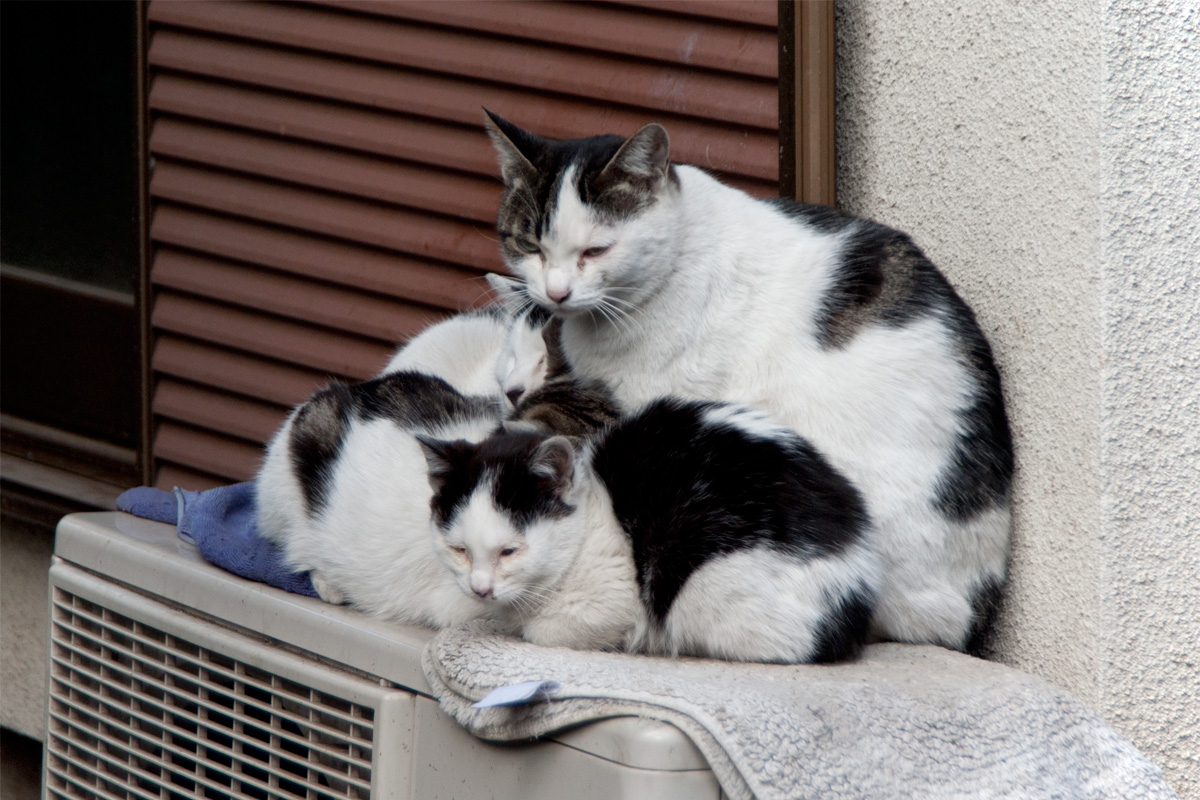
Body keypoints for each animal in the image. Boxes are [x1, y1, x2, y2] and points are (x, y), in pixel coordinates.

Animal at [417, 395, 878, 662]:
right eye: (459, 549)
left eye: (510, 551)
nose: (480, 589)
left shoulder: (613, 597)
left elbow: (543, 630)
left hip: (704, 589)